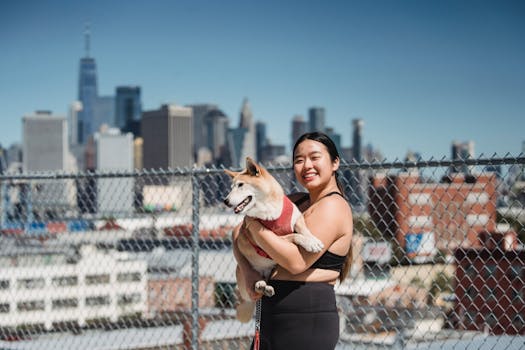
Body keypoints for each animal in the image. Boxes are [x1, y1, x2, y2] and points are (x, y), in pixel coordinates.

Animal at [222, 157, 322, 322]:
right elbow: (295, 235)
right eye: (230, 188)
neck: (269, 208)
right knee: (256, 284)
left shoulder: (297, 217)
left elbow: (303, 230)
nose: (225, 201)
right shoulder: (271, 240)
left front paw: (313, 240)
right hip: (246, 274)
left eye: (240, 185)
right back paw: (260, 285)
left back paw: (266, 287)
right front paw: (309, 243)